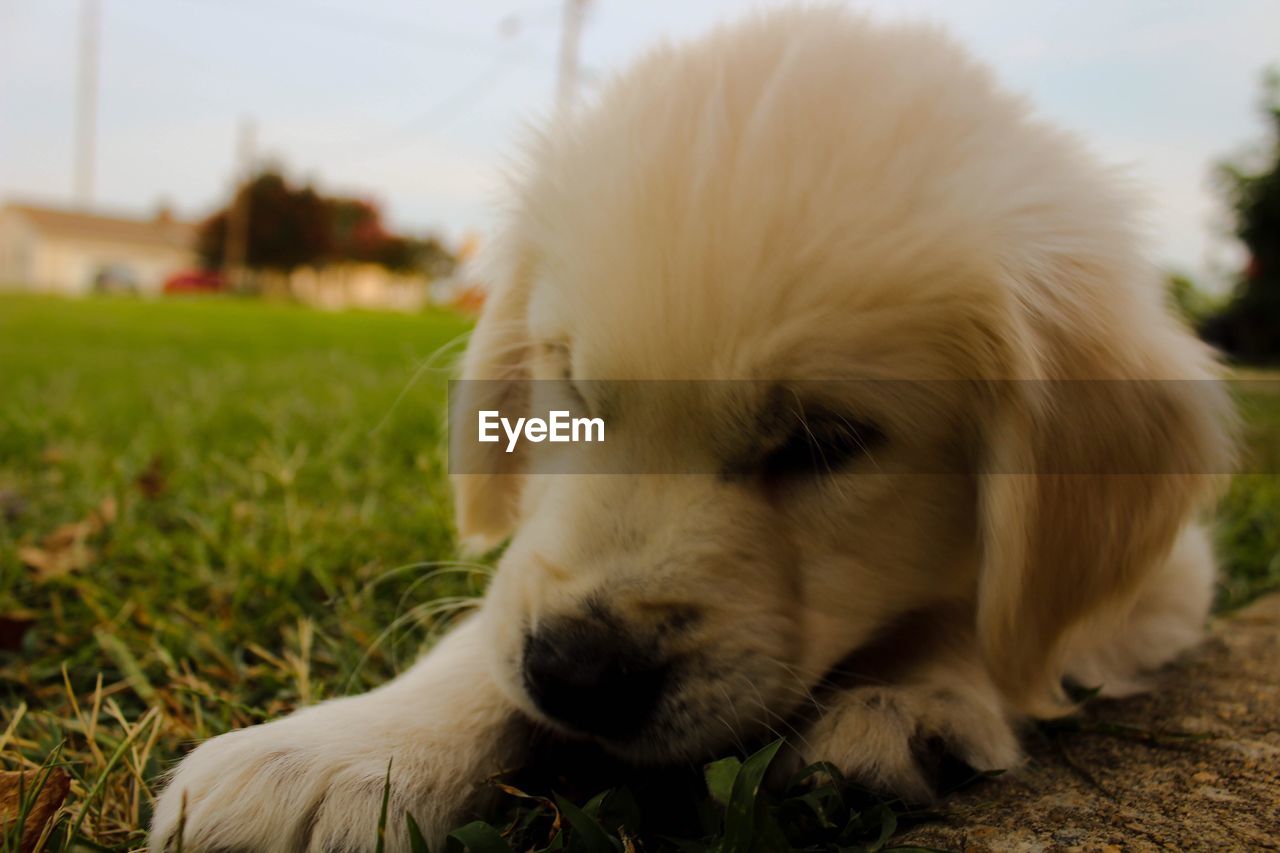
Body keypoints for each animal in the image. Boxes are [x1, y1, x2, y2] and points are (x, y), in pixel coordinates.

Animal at [147, 8, 1228, 850]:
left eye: (826, 440)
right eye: (572, 390)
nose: (576, 673)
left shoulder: (1174, 574)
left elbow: (988, 618)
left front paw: (914, 697)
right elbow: (488, 623)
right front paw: (344, 751)